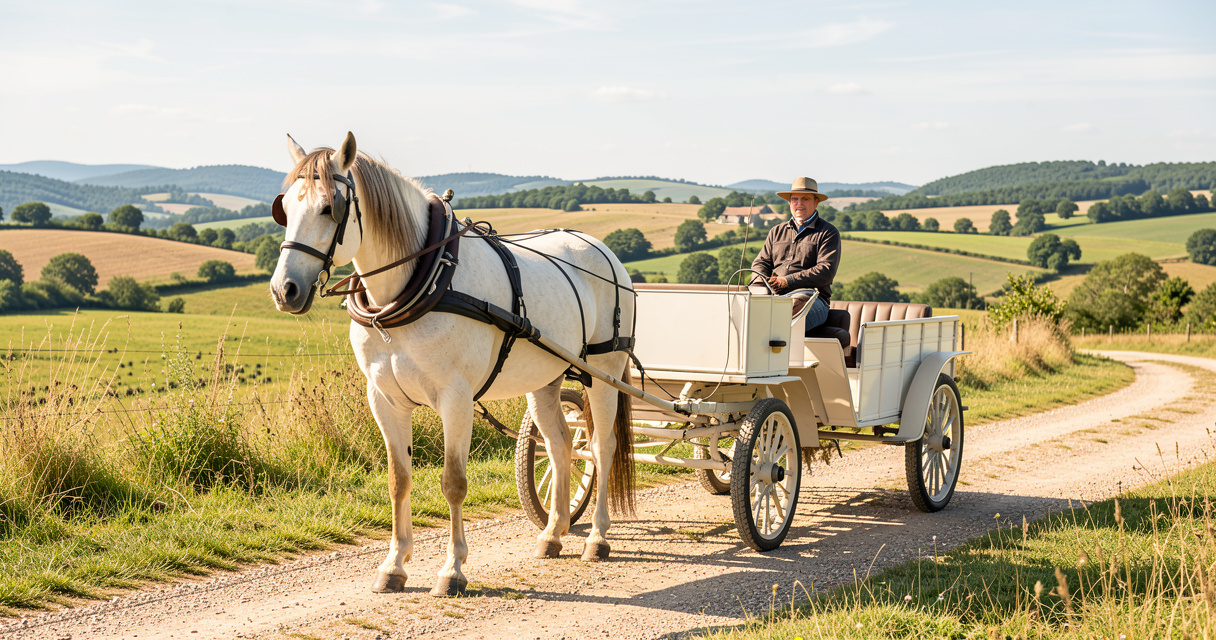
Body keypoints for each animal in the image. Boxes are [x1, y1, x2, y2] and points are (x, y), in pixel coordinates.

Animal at [268, 132, 637, 596]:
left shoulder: (456, 398)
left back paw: (598, 538)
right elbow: (398, 480)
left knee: (602, 447)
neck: (416, 284)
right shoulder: (384, 399)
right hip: (546, 378)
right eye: (285, 208)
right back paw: (553, 534)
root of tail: (602, 249)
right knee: (561, 446)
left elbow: (453, 483)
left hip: (605, 372)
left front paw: (453, 569)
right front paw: (394, 565)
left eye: (328, 208)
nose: (285, 290)